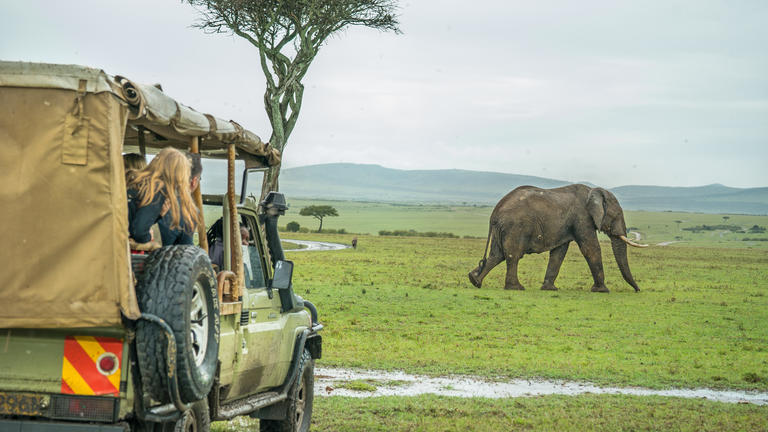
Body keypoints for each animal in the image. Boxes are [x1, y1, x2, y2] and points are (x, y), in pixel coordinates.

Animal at [468, 184, 647, 292]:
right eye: (616, 216)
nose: (638, 290)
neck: (593, 191)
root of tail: (495, 211)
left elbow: (559, 252)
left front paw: (549, 289)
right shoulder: (582, 217)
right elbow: (591, 248)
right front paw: (602, 291)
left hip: (502, 228)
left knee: (496, 255)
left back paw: (474, 280)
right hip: (515, 227)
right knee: (513, 255)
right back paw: (516, 288)